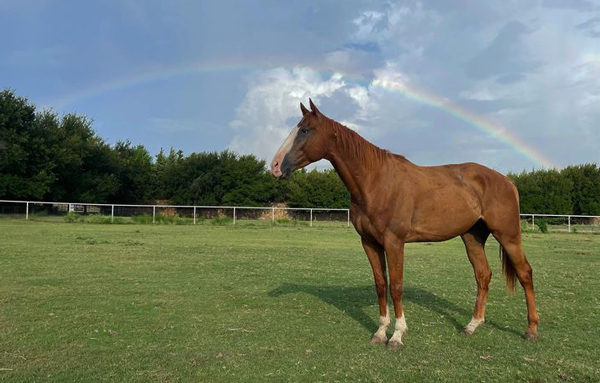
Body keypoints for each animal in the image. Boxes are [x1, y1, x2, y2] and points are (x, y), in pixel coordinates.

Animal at [270, 100, 540, 352]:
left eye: (305, 130)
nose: (275, 166)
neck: (376, 181)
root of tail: (506, 181)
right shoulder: (369, 243)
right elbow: (381, 285)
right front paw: (380, 332)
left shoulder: (394, 242)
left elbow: (397, 286)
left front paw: (397, 336)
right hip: (472, 237)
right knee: (483, 275)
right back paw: (472, 325)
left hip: (508, 235)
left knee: (525, 273)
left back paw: (531, 330)